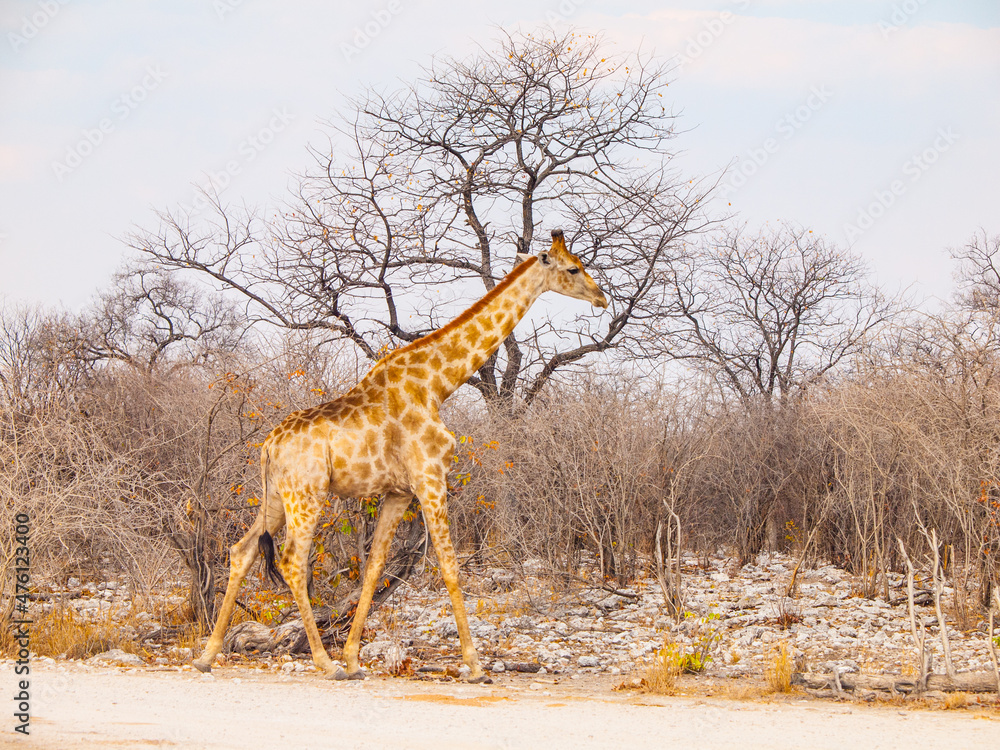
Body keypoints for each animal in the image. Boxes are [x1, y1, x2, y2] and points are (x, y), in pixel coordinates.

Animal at [192, 229, 608, 682]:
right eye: (574, 268)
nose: (602, 298)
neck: (437, 383)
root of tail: (268, 445)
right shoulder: (430, 477)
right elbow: (449, 566)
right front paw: (474, 664)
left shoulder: (398, 492)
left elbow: (375, 566)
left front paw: (354, 658)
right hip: (306, 494)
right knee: (293, 561)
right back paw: (323, 662)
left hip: (275, 496)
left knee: (242, 550)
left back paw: (207, 655)